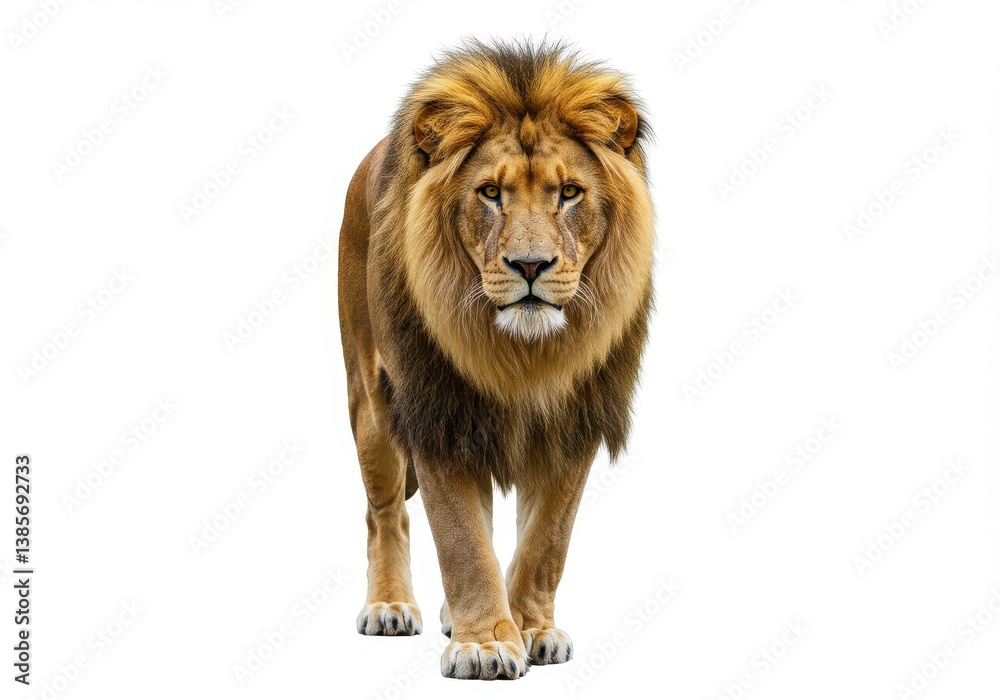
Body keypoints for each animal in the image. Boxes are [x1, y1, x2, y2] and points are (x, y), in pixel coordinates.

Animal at [337, 40, 654, 680]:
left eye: (569, 193)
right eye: (489, 193)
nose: (530, 265)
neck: (521, 354)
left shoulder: (574, 421)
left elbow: (545, 542)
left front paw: (530, 630)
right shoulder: (437, 412)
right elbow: (461, 539)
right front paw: (485, 644)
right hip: (371, 404)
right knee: (385, 512)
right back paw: (390, 606)